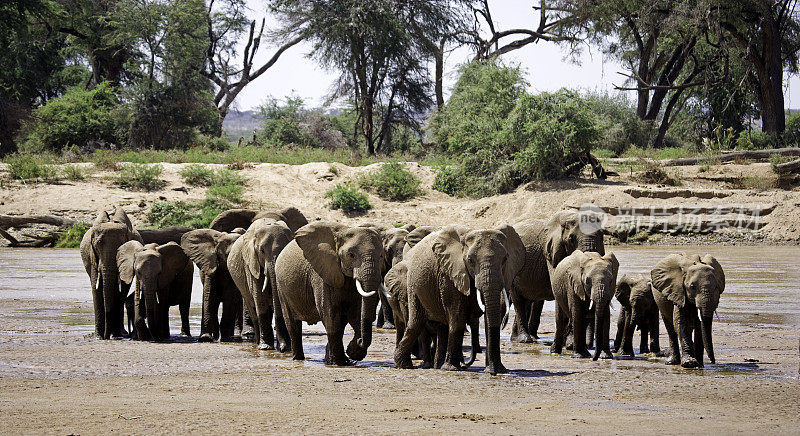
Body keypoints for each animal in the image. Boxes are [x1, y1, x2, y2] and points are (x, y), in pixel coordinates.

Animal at [80, 209, 143, 340]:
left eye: (121, 247)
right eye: (98, 244)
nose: (106, 336)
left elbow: (121, 289)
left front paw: (116, 336)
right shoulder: (92, 256)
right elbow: (96, 287)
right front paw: (98, 336)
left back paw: (121, 333)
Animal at [228, 218, 294, 350]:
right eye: (262, 251)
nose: (283, 348)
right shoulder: (250, 263)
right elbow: (260, 298)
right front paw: (265, 347)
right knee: (253, 307)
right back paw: (257, 342)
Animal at [276, 221, 382, 364]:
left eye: (381, 256)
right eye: (351, 255)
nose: (360, 341)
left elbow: (356, 313)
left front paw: (351, 353)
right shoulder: (322, 273)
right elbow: (331, 315)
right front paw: (340, 363)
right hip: (281, 288)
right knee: (293, 325)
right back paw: (298, 359)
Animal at [394, 225, 524, 374]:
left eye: (505, 259)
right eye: (470, 260)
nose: (493, 372)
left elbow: (488, 318)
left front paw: (498, 369)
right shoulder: (450, 275)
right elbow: (457, 316)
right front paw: (452, 369)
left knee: (441, 327)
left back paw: (437, 365)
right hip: (413, 285)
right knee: (416, 323)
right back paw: (405, 365)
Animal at [510, 209, 604, 342]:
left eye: (602, 236)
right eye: (571, 239)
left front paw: (569, 342)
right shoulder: (551, 252)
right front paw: (570, 342)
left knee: (526, 300)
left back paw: (517, 338)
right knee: (518, 300)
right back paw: (525, 339)